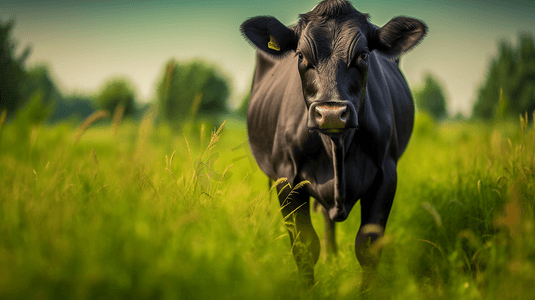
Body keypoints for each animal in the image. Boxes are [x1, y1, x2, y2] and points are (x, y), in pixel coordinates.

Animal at [241, 0, 430, 284]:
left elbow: (368, 246)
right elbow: (304, 246)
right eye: (300, 55)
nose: (330, 113)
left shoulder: (386, 175)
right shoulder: (287, 177)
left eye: (363, 55)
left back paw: (332, 256)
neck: (336, 147)